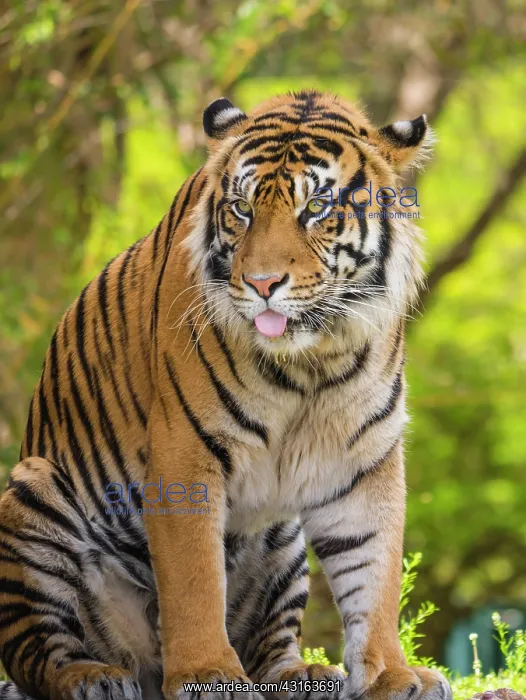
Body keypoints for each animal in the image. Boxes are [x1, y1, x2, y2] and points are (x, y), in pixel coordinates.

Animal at [0, 90, 451, 700]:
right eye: (241, 208)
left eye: (316, 208)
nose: (262, 284)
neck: (311, 364)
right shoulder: (185, 453)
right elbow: (194, 579)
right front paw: (206, 674)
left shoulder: (365, 457)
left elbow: (373, 573)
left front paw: (392, 676)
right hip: (33, 491)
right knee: (36, 650)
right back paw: (92, 676)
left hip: (284, 540)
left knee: (272, 646)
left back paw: (306, 675)